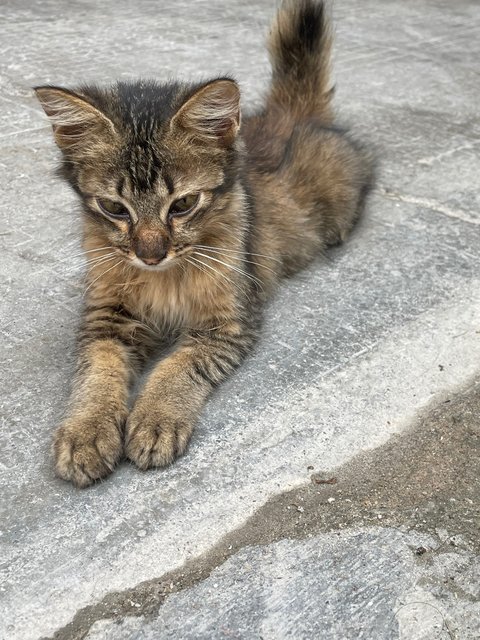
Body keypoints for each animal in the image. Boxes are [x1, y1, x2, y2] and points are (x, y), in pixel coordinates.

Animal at [35, 0, 374, 488]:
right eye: (115, 208)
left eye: (183, 204)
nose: (150, 254)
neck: (164, 277)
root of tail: (291, 113)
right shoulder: (107, 317)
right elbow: (97, 370)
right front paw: (87, 431)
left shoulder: (228, 322)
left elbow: (178, 366)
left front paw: (155, 419)